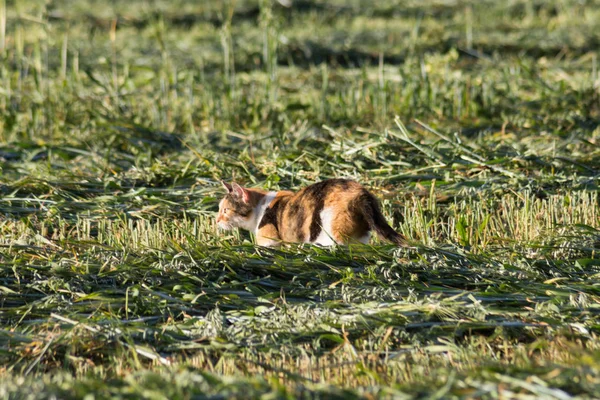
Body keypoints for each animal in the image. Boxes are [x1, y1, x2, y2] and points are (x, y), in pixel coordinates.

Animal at [216, 179, 408, 247]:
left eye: (225, 210)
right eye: (219, 209)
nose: (216, 221)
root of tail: (361, 192)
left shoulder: (270, 241)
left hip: (333, 229)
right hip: (360, 235)